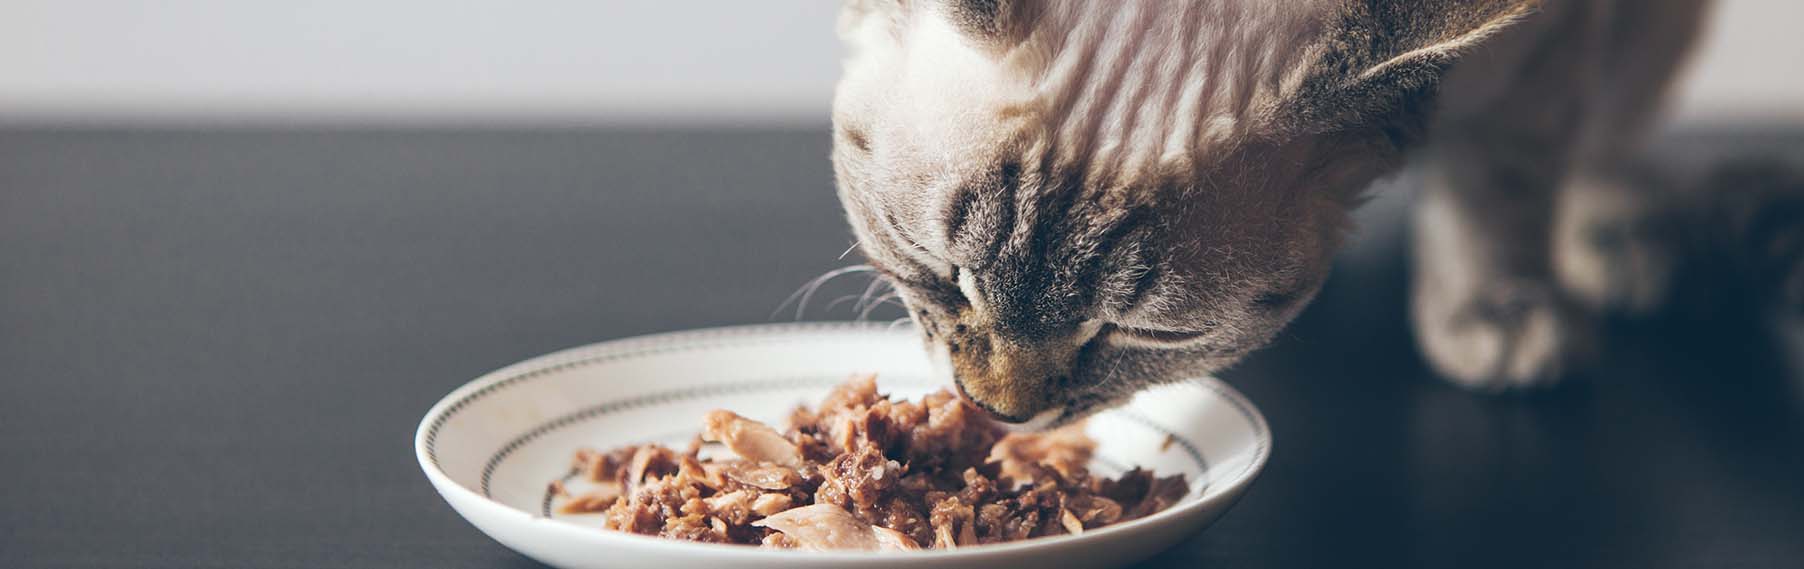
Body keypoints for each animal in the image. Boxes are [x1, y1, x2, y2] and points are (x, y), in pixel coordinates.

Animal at [826, 0, 1724, 428]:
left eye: (1148, 334)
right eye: (940, 270)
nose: (998, 412)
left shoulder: (1545, 45)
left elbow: (1498, 184)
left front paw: (1495, 317)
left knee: (1613, 120)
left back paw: (1614, 240)